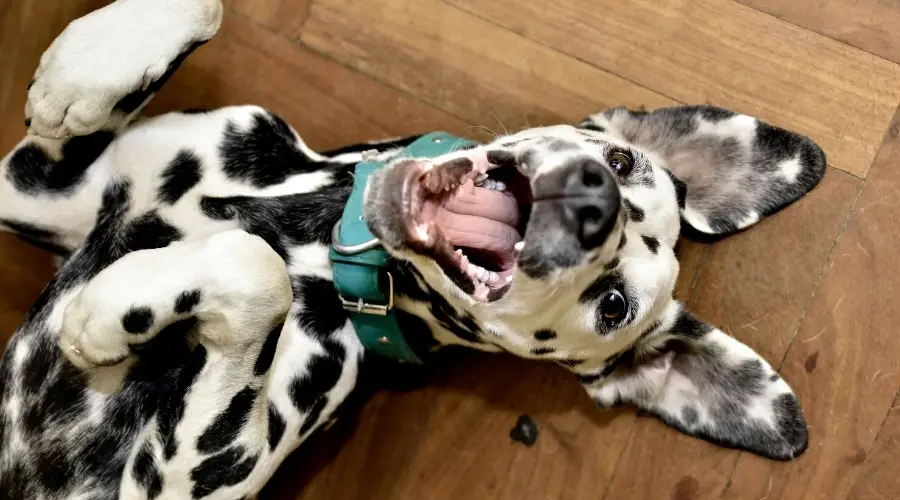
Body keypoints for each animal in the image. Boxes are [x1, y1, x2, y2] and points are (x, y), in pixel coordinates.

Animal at [0, 1, 828, 498]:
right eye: (624, 164)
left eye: (615, 305)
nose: (595, 199)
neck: (309, 225)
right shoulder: (30, 183)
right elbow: (201, 10)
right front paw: (89, 66)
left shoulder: (184, 479)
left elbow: (253, 268)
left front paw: (109, 310)